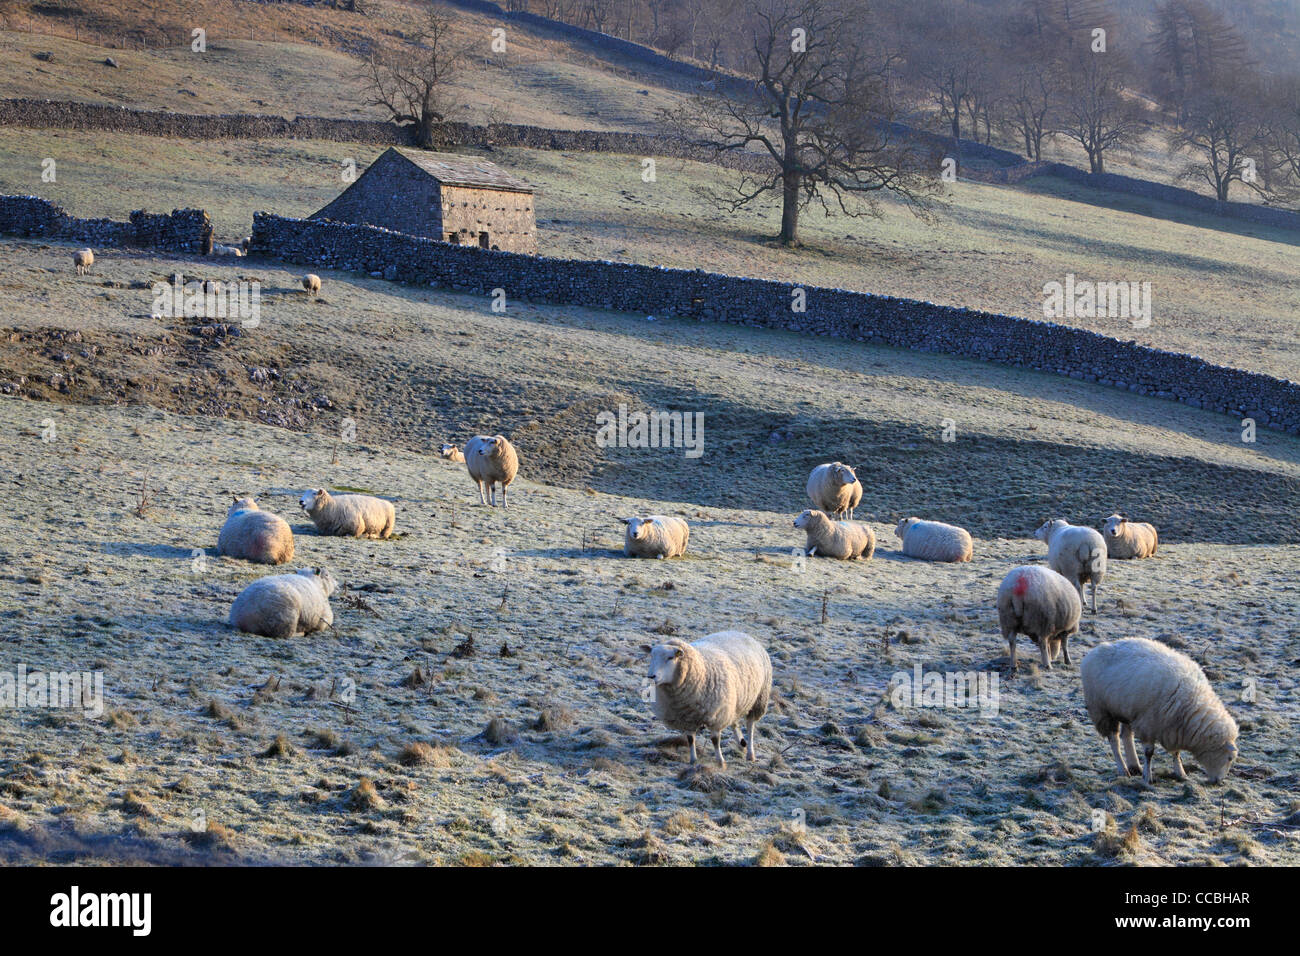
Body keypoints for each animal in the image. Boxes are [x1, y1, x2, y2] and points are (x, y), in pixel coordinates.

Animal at [647, 629, 769, 770]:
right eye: (651, 656)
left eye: (670, 657)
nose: (651, 676)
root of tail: (739, 632)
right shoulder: (686, 718)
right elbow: (690, 739)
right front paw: (693, 760)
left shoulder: (717, 716)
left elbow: (715, 740)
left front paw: (720, 762)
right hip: (734, 701)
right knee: (734, 721)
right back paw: (741, 744)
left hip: (758, 699)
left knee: (750, 726)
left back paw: (750, 753)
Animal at [1076, 639, 1237, 790]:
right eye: (1229, 758)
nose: (1219, 782)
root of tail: (1096, 649)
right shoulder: (1149, 724)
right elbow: (1149, 753)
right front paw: (1148, 778)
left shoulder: (1173, 728)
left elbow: (1176, 752)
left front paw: (1181, 773)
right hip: (1102, 709)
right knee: (1114, 739)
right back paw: (1123, 769)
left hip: (1127, 710)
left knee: (1126, 736)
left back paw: (1134, 765)